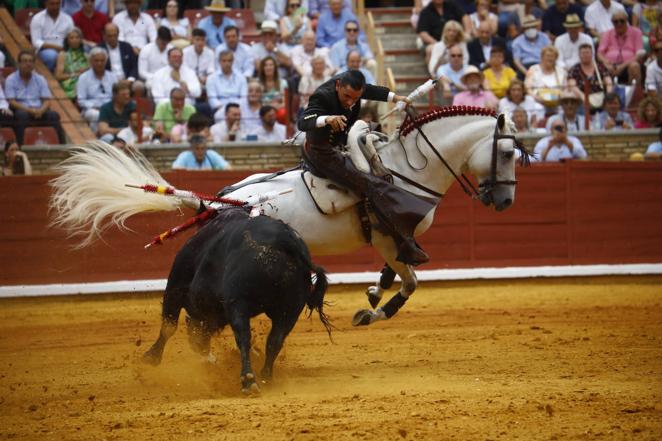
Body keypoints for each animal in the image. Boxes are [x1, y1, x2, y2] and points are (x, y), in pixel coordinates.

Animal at [50, 105, 528, 324]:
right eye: (507, 153)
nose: (505, 202)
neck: (403, 169)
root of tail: (218, 202)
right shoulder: (392, 239)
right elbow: (410, 282)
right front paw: (371, 312)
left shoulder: (390, 242)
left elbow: (394, 273)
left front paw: (373, 293)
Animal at [143, 206, 334, 392]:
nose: (199, 346)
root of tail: (287, 241)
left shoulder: (176, 287)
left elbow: (169, 325)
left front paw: (151, 357)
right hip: (289, 312)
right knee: (275, 341)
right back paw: (265, 377)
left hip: (239, 304)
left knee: (244, 337)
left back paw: (248, 380)